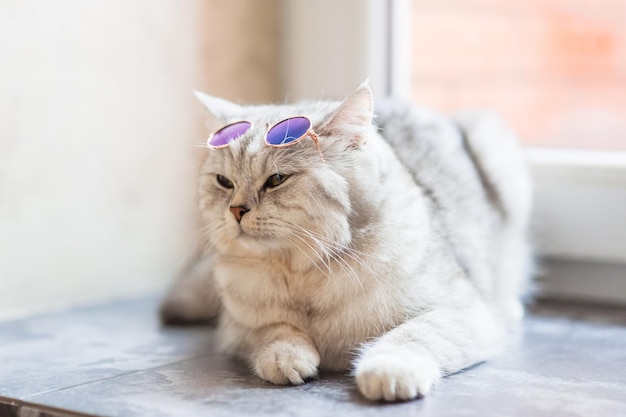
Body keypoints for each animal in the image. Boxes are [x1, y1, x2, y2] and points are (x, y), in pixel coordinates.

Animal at [161, 80, 532, 400]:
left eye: (277, 179)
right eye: (224, 182)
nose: (236, 210)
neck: (302, 271)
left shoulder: (464, 312)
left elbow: (411, 336)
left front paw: (386, 371)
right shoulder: (236, 327)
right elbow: (275, 330)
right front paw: (287, 357)